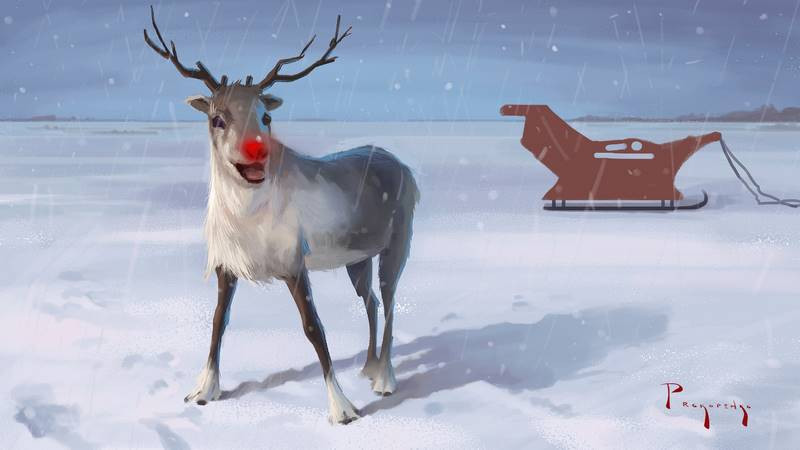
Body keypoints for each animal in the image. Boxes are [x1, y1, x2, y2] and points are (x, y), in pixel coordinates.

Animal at [144, 6, 418, 424]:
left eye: (266, 118)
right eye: (217, 118)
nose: (256, 152)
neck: (246, 219)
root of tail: (401, 164)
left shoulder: (293, 263)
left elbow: (314, 328)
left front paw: (342, 409)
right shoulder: (226, 265)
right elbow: (217, 321)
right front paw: (203, 391)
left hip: (397, 245)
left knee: (389, 301)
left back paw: (385, 379)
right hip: (357, 258)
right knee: (370, 300)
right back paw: (368, 367)